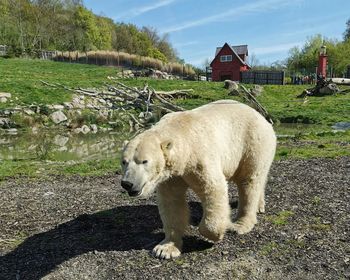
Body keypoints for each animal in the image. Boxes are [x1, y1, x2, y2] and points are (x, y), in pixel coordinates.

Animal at [120, 99, 276, 260]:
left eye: (144, 161)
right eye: (124, 161)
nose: (127, 183)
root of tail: (262, 117)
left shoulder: (199, 158)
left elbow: (213, 189)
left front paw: (215, 234)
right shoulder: (171, 176)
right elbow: (172, 202)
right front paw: (165, 249)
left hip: (252, 143)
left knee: (249, 181)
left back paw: (239, 224)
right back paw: (259, 206)